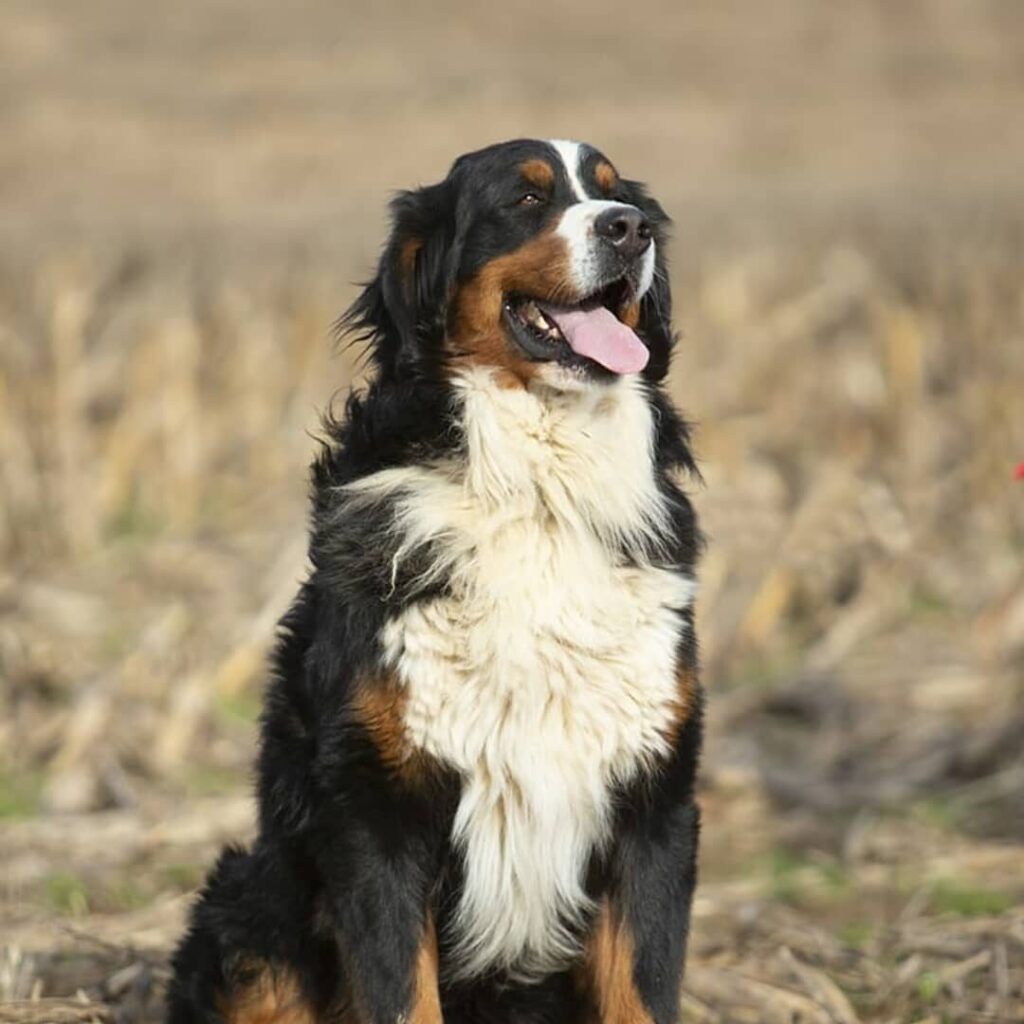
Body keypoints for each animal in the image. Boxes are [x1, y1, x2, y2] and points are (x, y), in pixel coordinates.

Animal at [169, 138, 704, 1024]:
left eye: (613, 192)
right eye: (525, 200)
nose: (628, 229)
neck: (535, 494)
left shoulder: (652, 803)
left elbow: (642, 990)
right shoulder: (373, 813)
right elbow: (400, 992)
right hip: (252, 912)